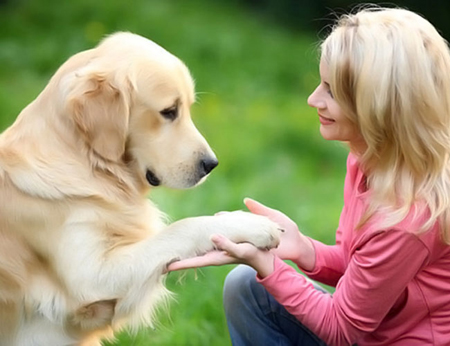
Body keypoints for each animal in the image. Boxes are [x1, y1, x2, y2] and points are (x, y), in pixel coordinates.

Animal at [0, 31, 280, 344]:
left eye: (187, 109)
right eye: (169, 112)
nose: (211, 164)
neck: (88, 165)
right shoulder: (90, 278)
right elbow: (182, 228)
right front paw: (250, 224)